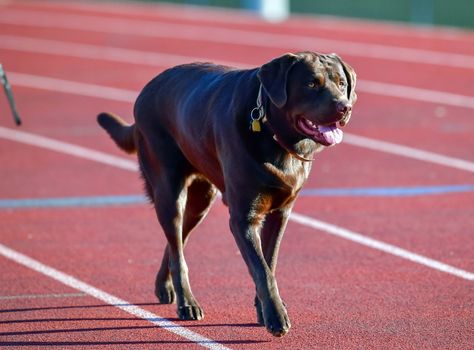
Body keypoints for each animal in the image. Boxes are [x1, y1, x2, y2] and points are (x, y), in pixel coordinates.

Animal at [99, 52, 356, 336]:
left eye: (342, 83)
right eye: (311, 84)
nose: (345, 107)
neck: (273, 134)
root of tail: (148, 88)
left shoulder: (280, 213)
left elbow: (269, 262)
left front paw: (264, 310)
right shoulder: (243, 218)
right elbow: (262, 270)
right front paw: (276, 316)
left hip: (201, 199)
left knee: (177, 240)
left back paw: (163, 286)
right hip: (168, 186)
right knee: (177, 246)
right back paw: (187, 302)